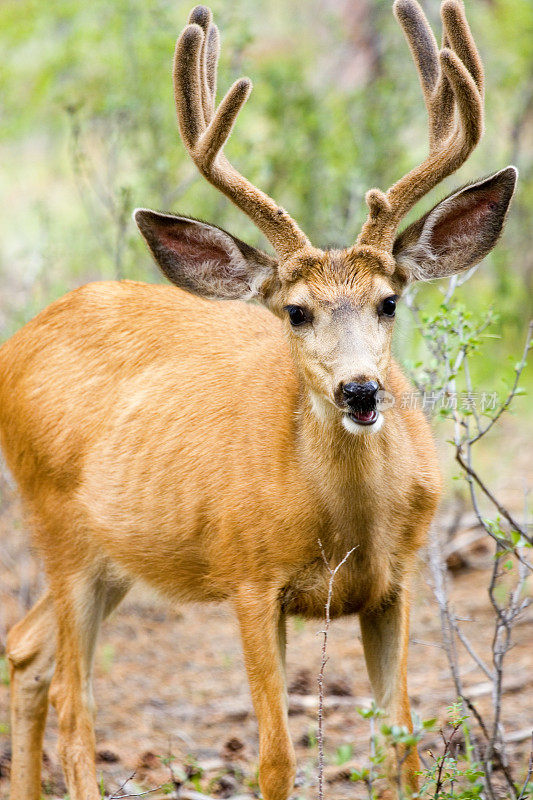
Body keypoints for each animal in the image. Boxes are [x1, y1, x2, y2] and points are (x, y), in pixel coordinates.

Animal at [0, 1, 516, 800]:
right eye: (296, 312)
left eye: (389, 301)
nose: (359, 389)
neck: (345, 524)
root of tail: (19, 339)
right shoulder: (248, 579)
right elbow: (275, 760)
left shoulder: (395, 583)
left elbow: (399, 750)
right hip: (56, 525)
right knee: (71, 705)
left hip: (113, 556)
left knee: (25, 653)